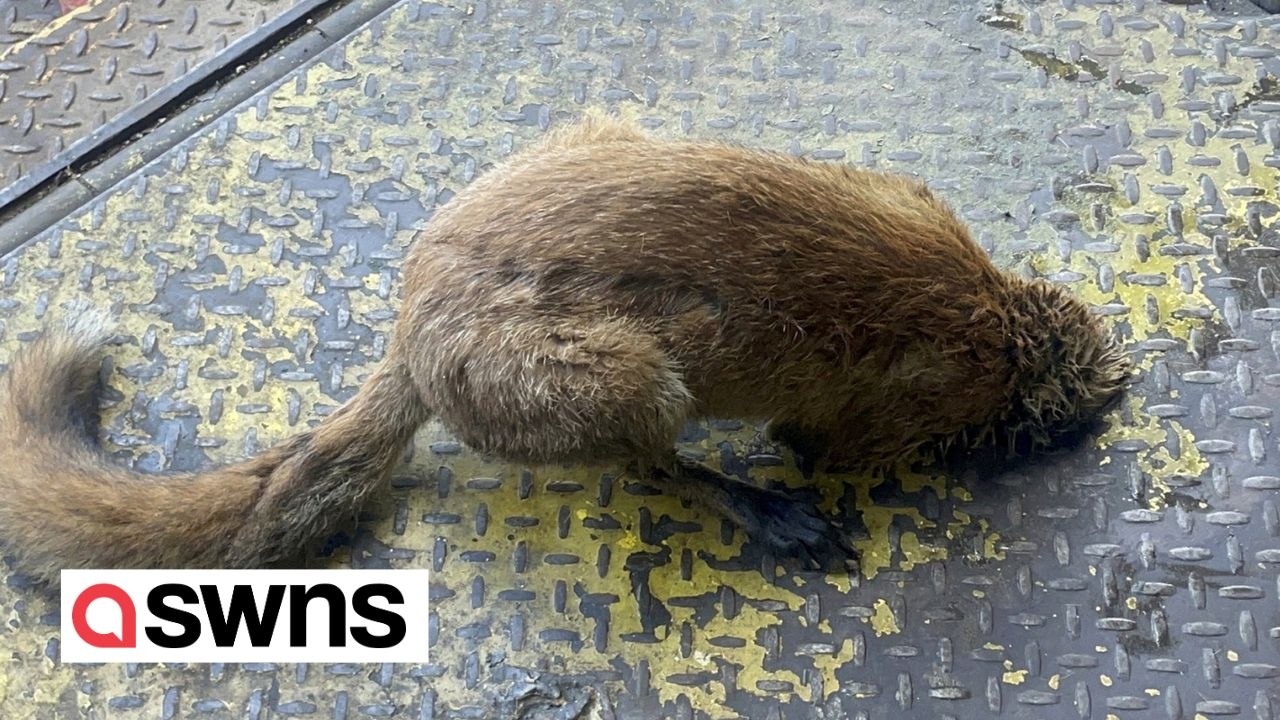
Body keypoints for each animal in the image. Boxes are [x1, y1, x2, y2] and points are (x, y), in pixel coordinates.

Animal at [0, 115, 1130, 584]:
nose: (1118, 403)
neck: (989, 315)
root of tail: (410, 328)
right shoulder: (879, 415)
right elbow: (816, 443)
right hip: (625, 377)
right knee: (655, 466)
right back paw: (758, 509)